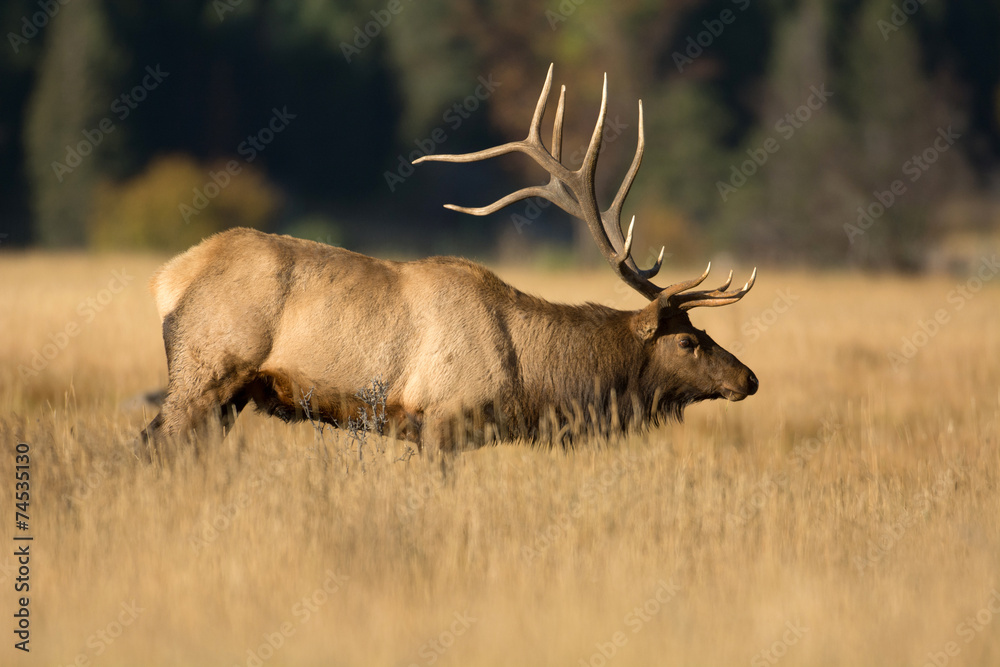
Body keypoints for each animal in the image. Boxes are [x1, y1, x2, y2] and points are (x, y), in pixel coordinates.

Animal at [137, 64, 758, 459]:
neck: (527, 375)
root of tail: (167, 278)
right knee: (153, 442)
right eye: (688, 341)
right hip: (204, 372)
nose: (748, 378)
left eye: (703, 331)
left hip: (229, 395)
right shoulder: (440, 418)